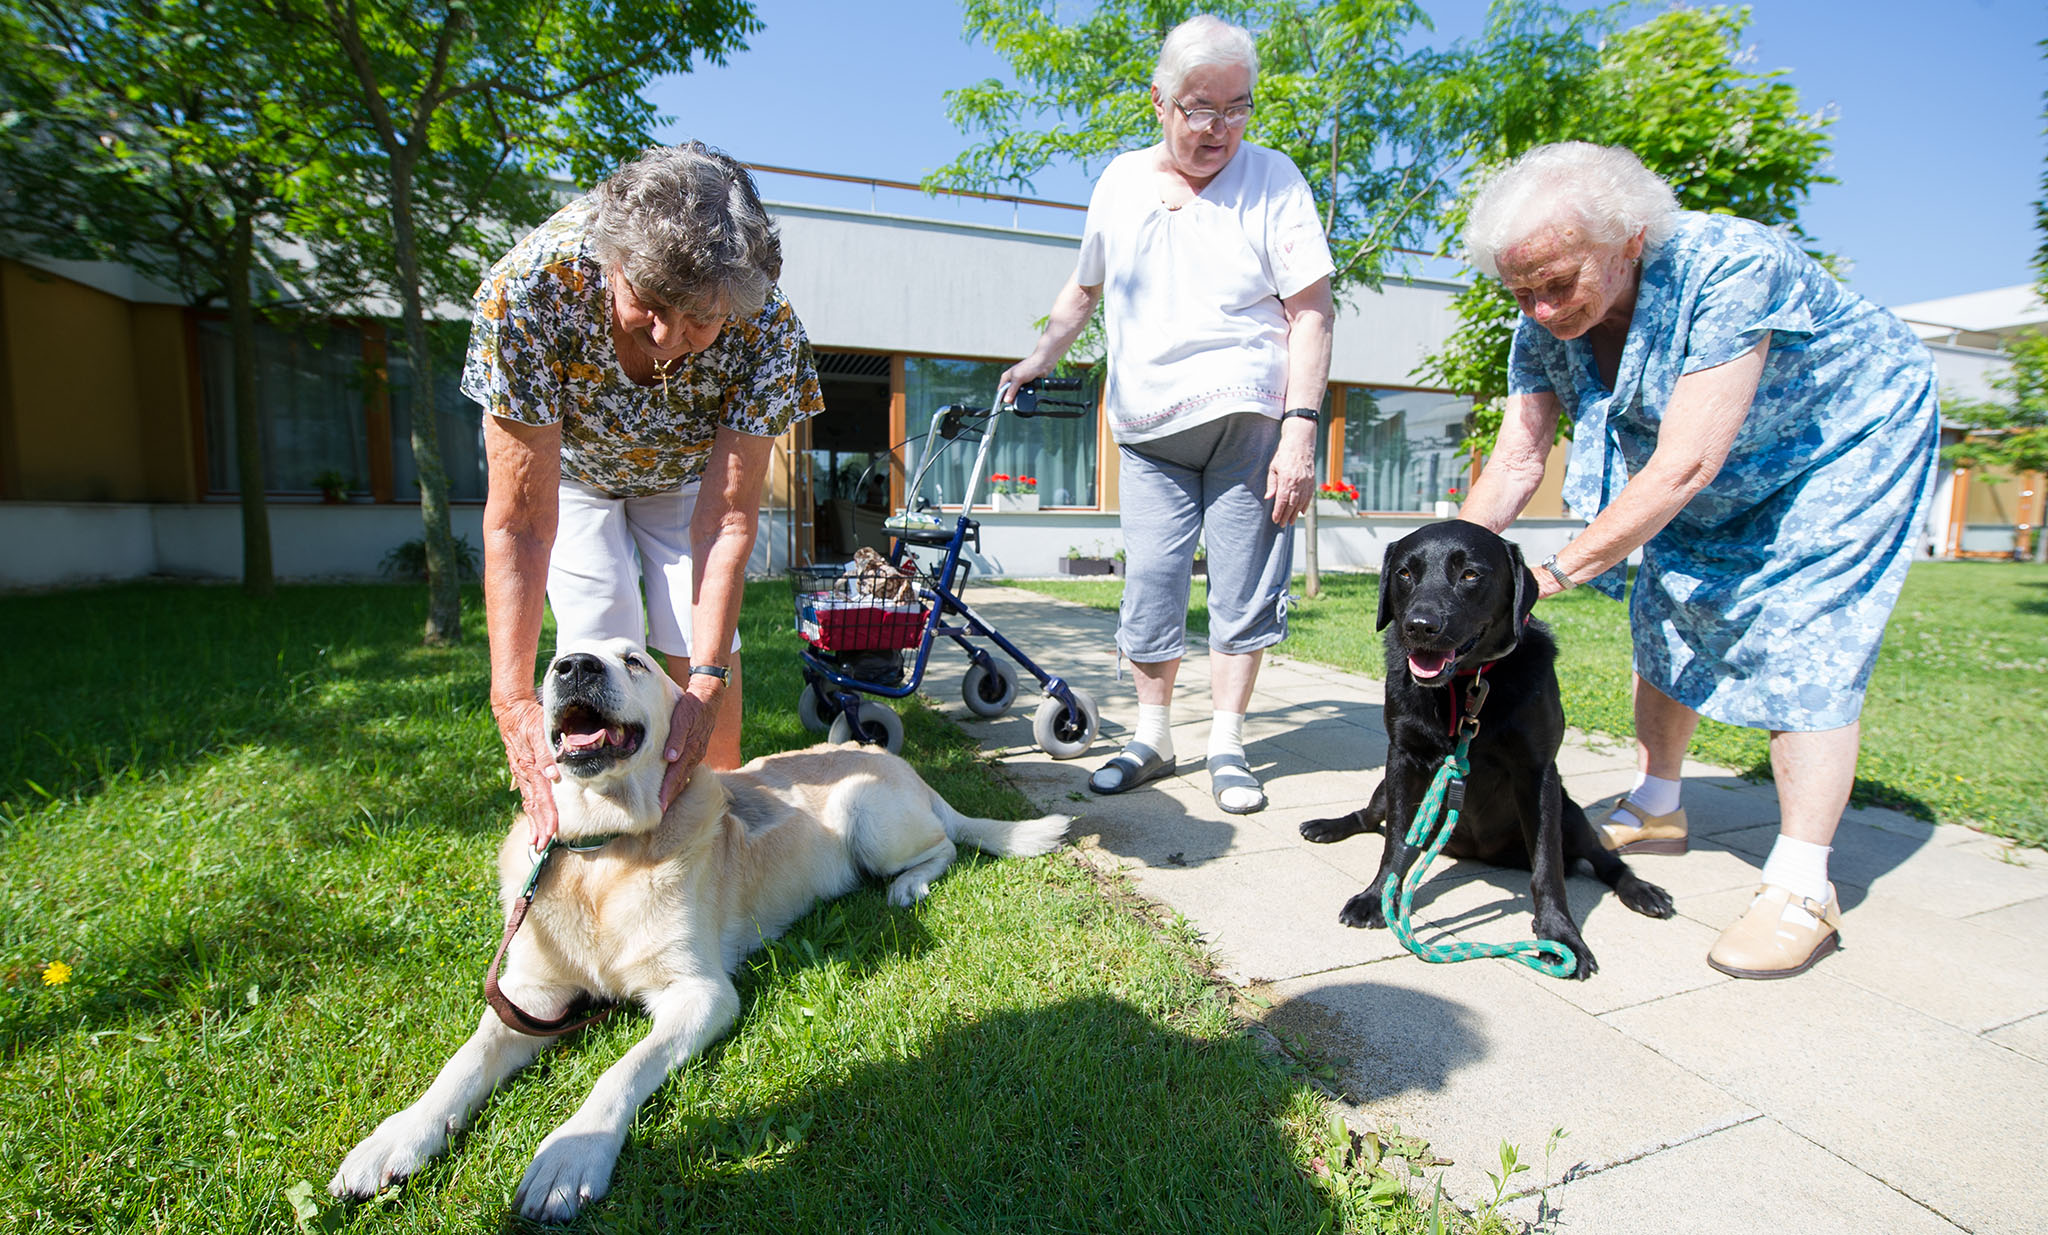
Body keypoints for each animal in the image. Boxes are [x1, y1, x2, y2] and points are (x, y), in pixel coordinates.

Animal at [331, 643, 1073, 1220]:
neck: (603, 853)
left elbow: (621, 1069)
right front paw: (394, 1139)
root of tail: (893, 760)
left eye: (633, 660)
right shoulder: (530, 996)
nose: (575, 667)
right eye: (552, 662)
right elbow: (461, 1065)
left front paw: (572, 1154)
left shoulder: (701, 994)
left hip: (872, 818)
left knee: (944, 845)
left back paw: (908, 886)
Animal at [1302, 520, 1671, 974]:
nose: (1419, 626)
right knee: (1371, 818)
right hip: (1384, 789)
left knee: (1602, 857)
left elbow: (1548, 867)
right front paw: (1376, 898)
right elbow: (1397, 845)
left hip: (1570, 812)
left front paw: (1560, 935)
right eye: (1404, 573)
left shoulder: (1538, 774)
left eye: (1470, 575)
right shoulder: (1401, 759)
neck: (1466, 686)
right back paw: (1327, 826)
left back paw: (1641, 890)